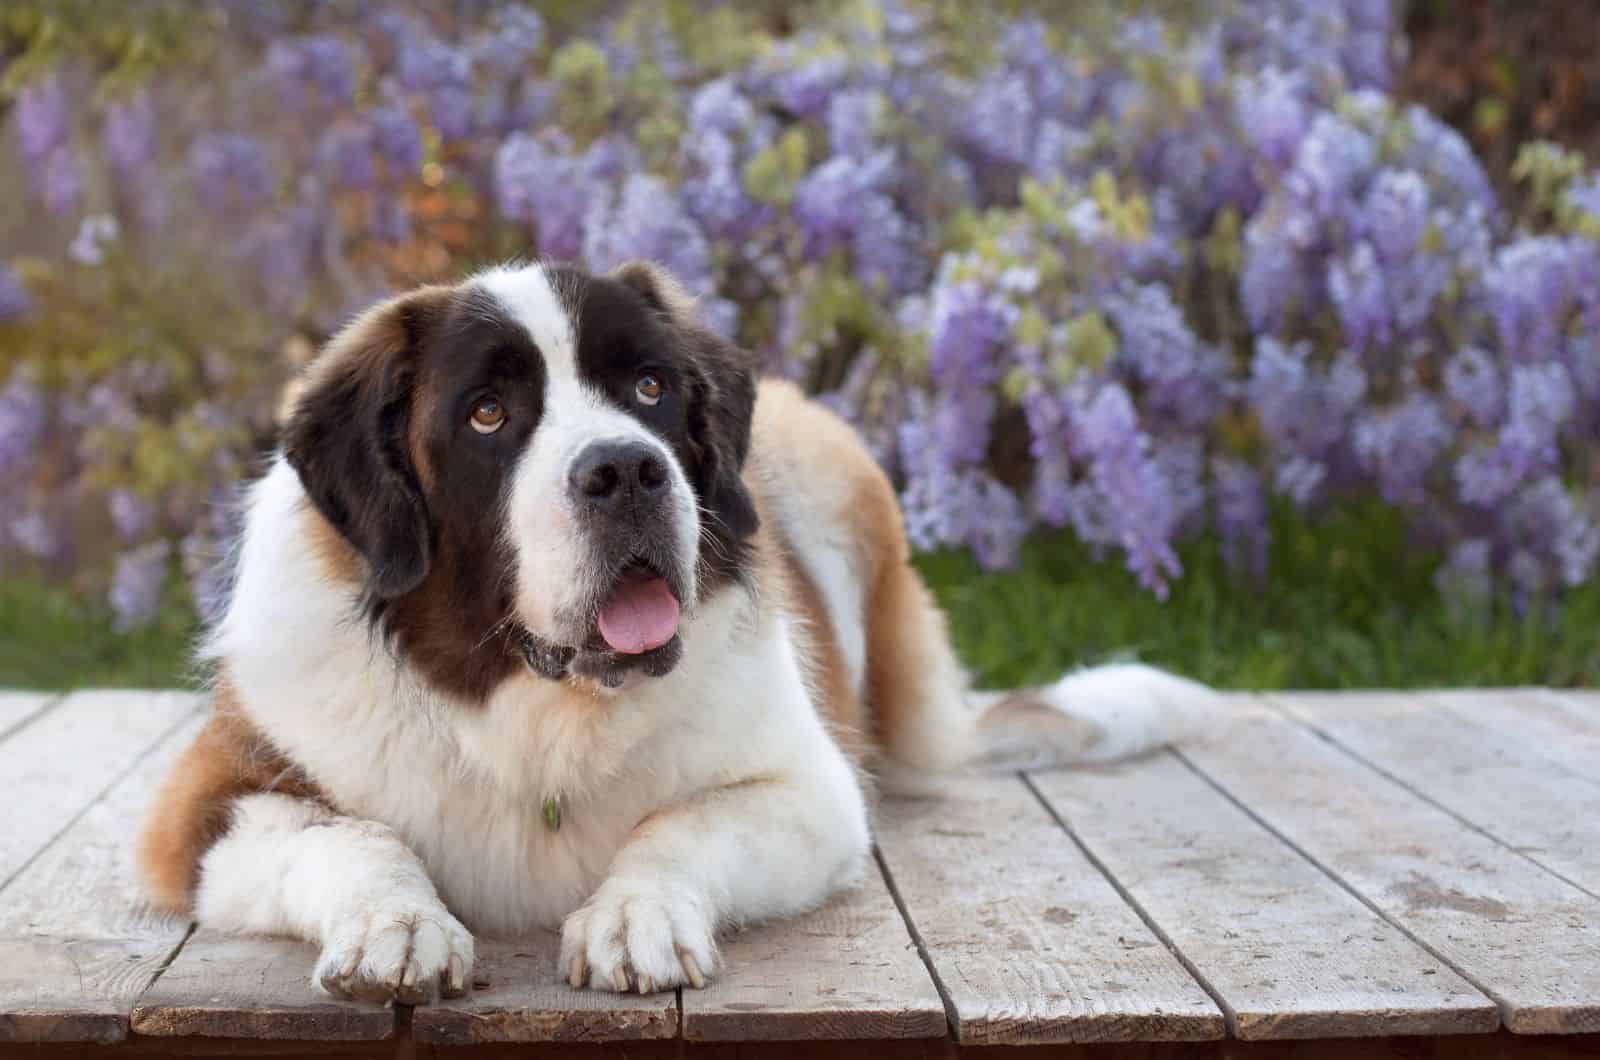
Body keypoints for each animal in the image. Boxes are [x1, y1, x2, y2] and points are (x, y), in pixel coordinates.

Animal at [137, 259, 1209, 1005]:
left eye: (650, 389)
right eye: (488, 414)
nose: (626, 470)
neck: (536, 703)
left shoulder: (813, 791)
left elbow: (681, 823)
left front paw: (633, 915)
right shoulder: (204, 803)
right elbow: (350, 834)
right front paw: (395, 926)